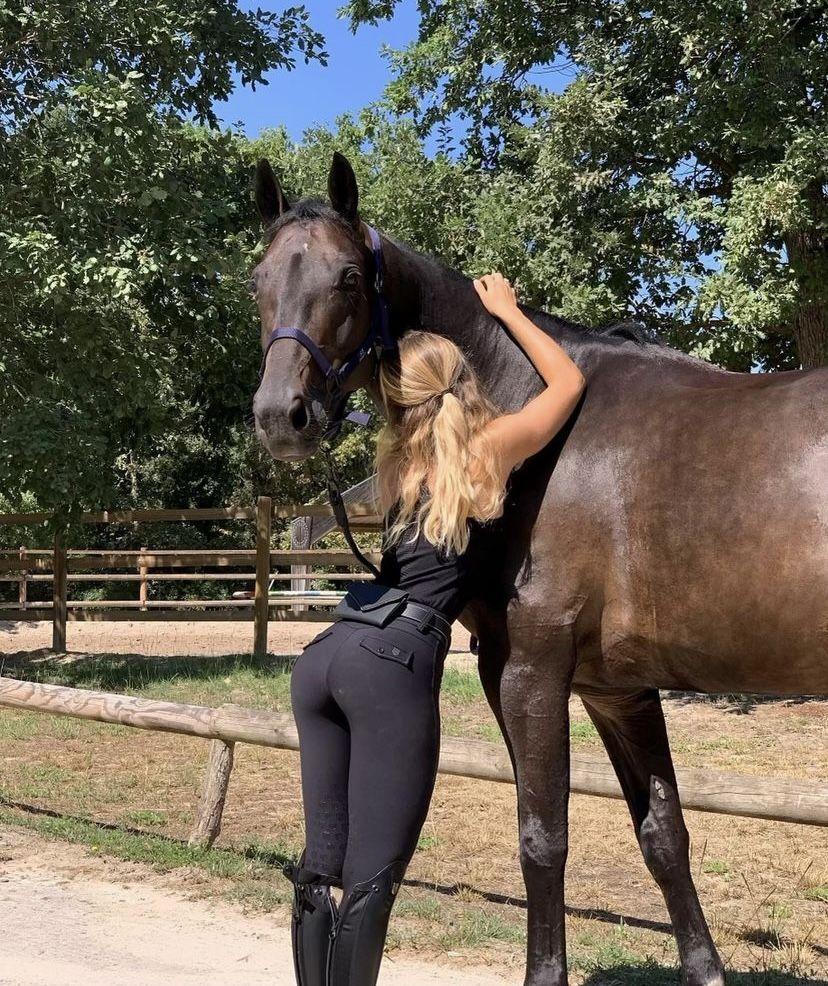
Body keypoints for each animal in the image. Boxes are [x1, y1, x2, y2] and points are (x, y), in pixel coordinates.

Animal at [250, 151, 828, 986]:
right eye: (256, 280)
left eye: (350, 277)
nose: (281, 416)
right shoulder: (616, 690)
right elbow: (664, 835)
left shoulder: (527, 672)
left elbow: (542, 838)